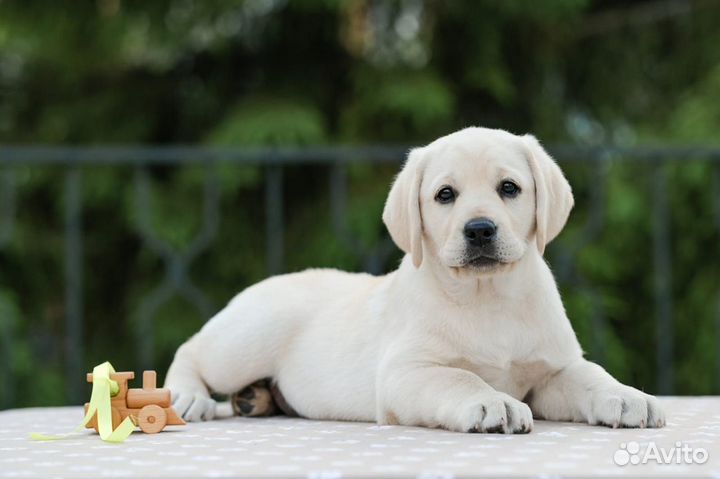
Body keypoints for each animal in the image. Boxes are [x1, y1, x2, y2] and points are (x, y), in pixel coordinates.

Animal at [166, 127, 668, 436]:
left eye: (509, 188)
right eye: (445, 195)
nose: (480, 230)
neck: (488, 297)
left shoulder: (552, 371)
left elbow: (590, 375)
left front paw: (627, 397)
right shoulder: (407, 373)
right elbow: (460, 379)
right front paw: (493, 402)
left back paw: (258, 398)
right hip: (247, 339)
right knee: (192, 349)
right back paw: (188, 396)